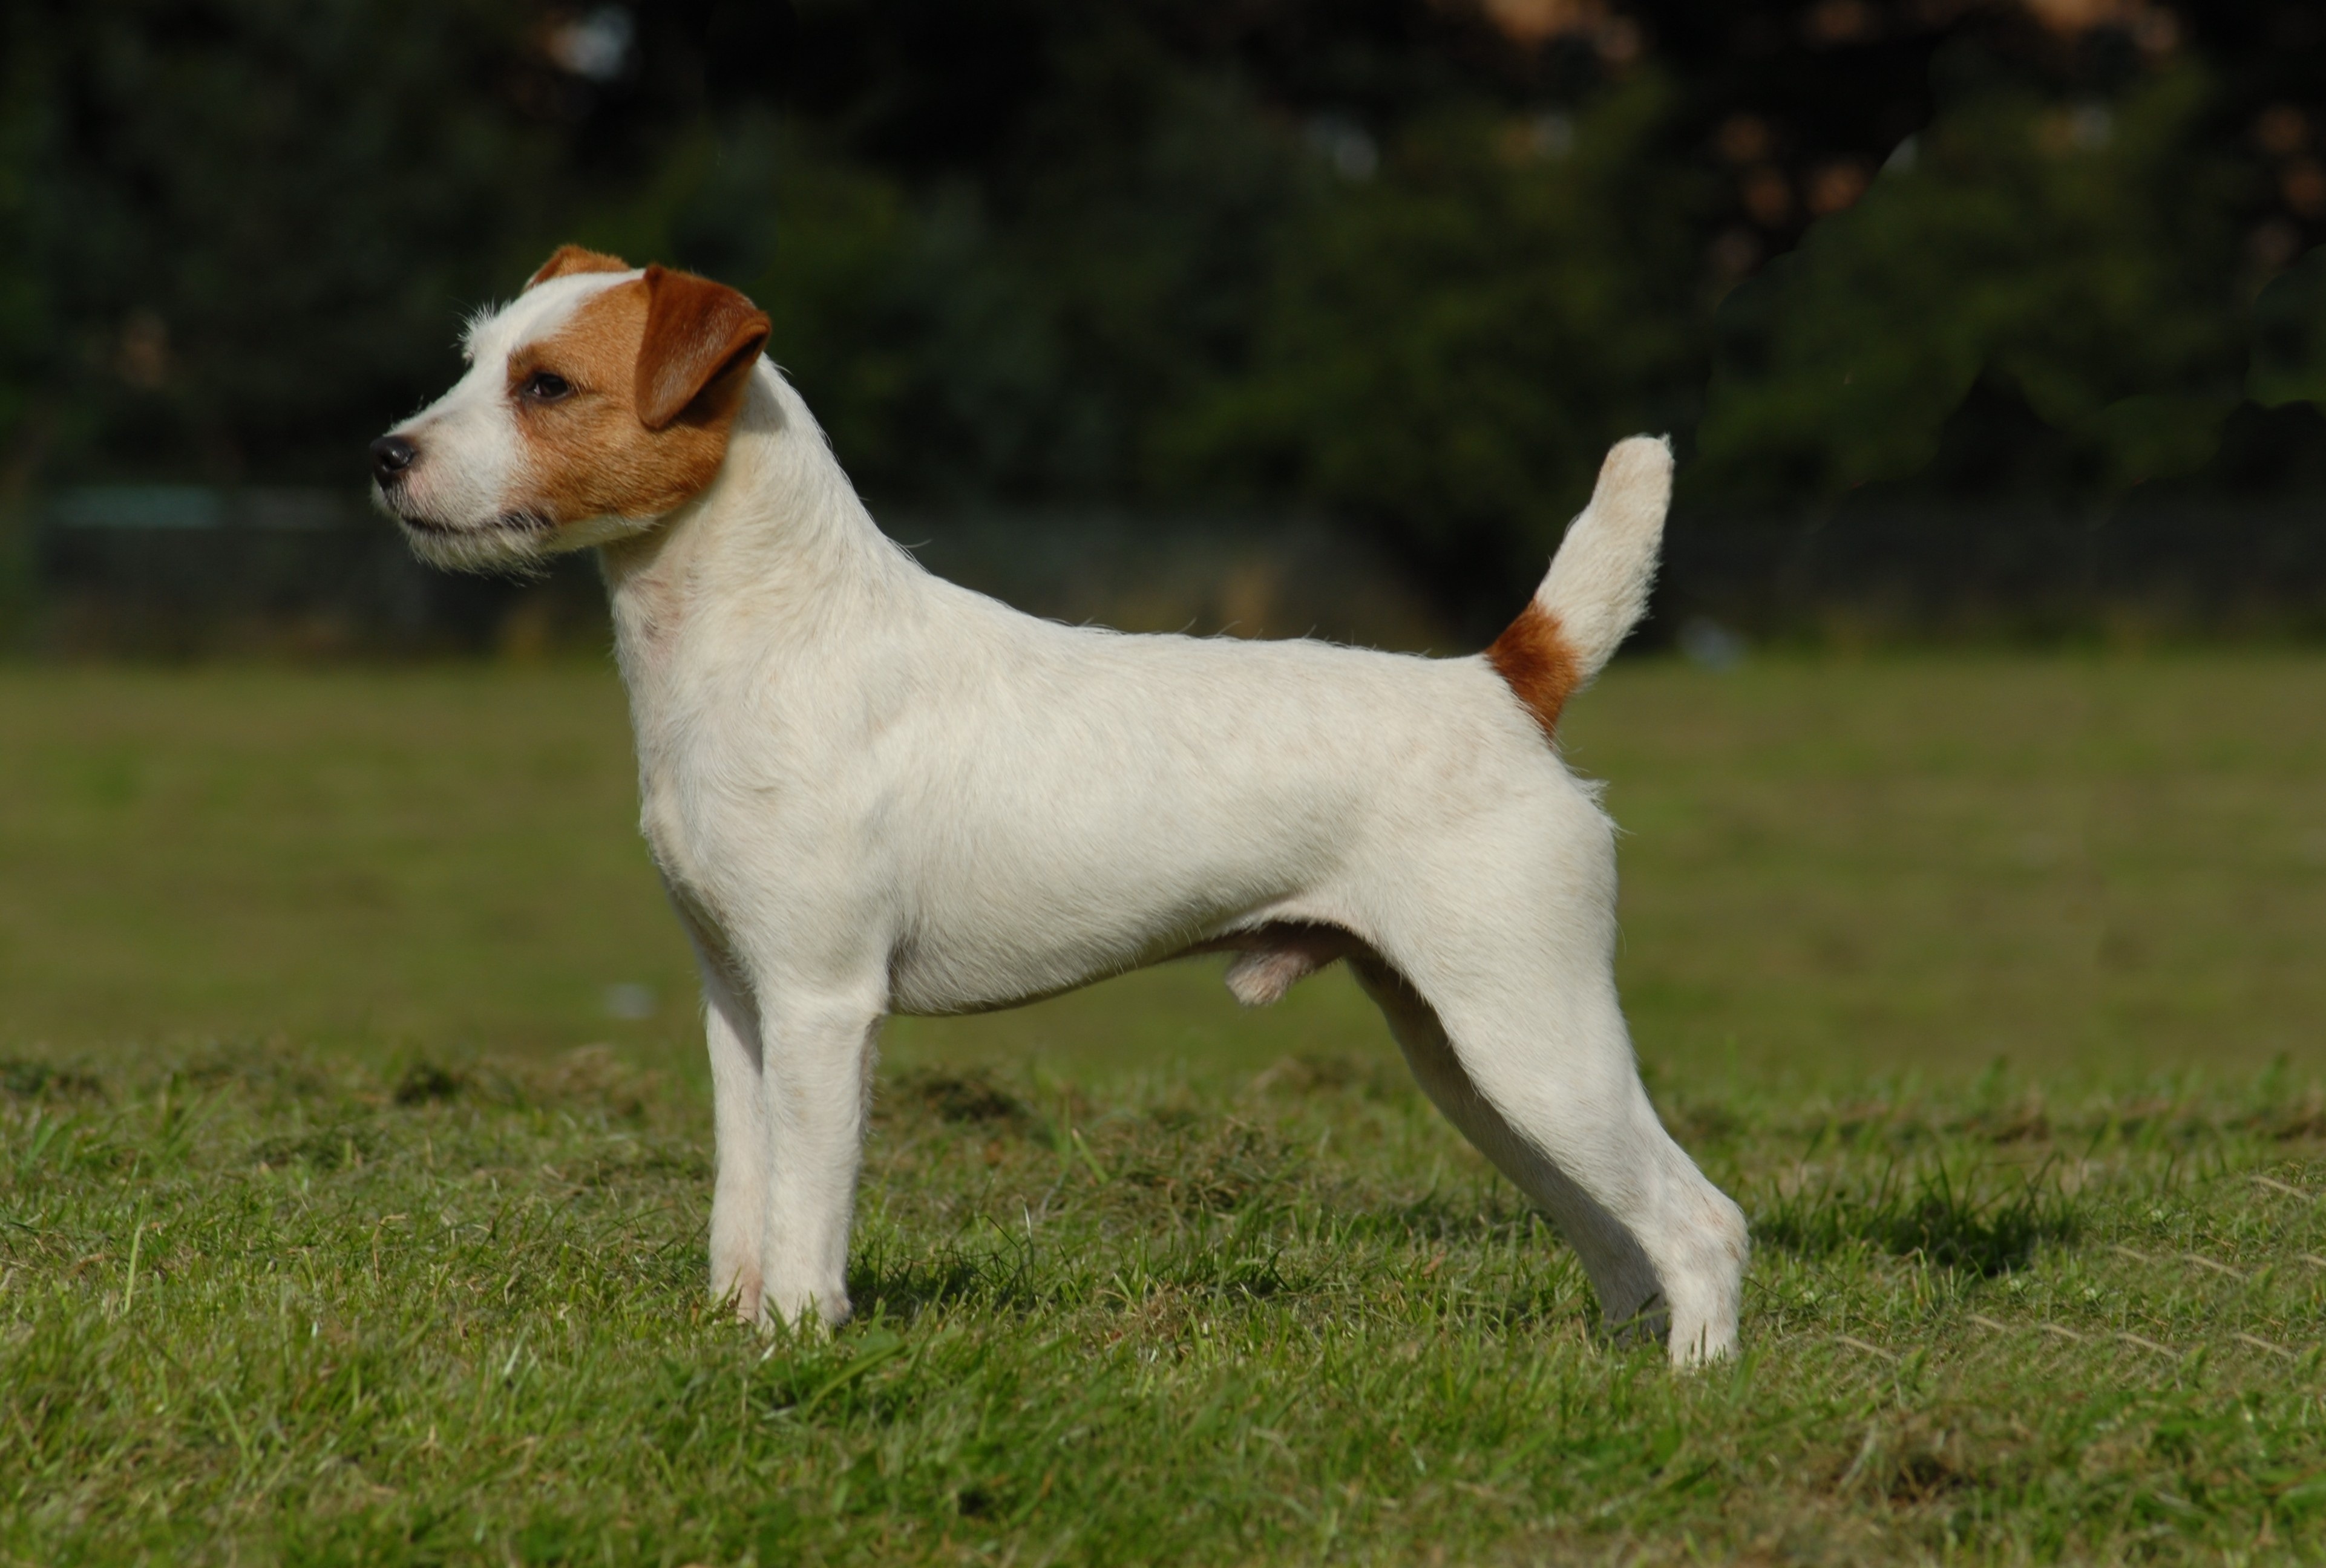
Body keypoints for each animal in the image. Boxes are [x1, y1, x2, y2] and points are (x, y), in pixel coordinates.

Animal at [372, 241, 1749, 1358]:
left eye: (547, 386)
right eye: (473, 358)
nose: (385, 455)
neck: (767, 636)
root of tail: (1501, 682)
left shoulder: (821, 1003)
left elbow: (808, 1206)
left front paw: (798, 1345)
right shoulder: (737, 1000)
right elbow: (742, 1196)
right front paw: (735, 1329)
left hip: (1526, 1032)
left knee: (1700, 1222)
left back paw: (1693, 1393)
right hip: (1464, 1055)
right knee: (1617, 1236)